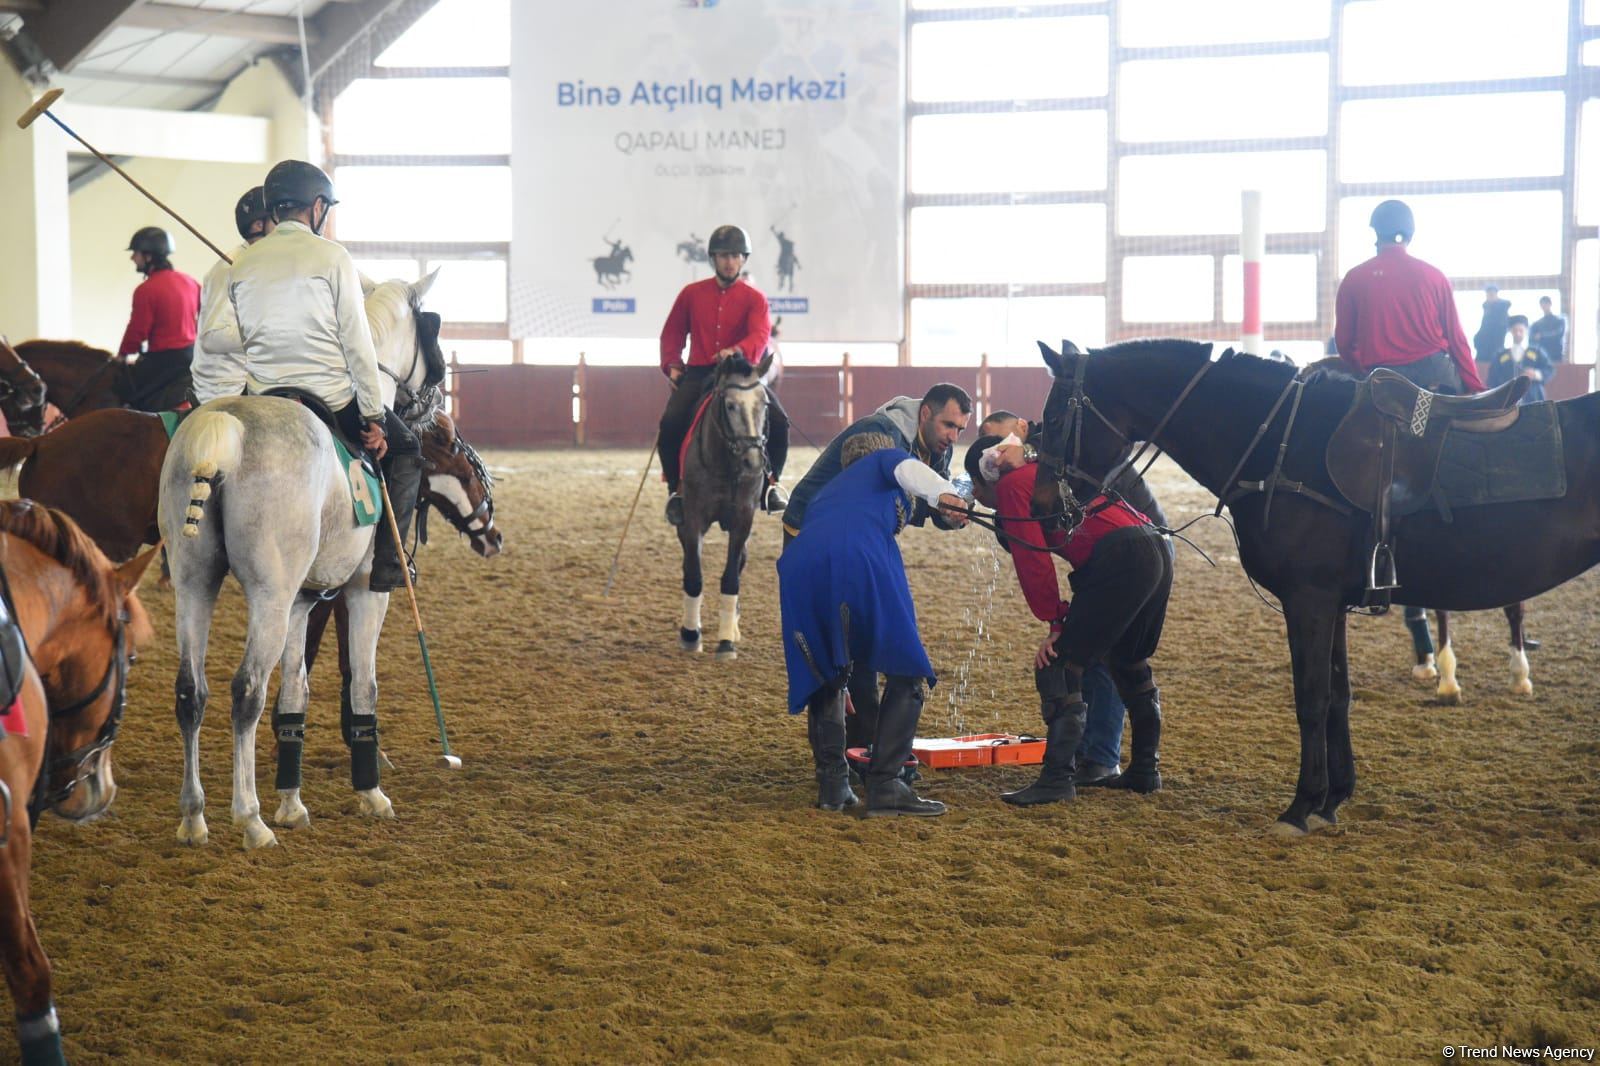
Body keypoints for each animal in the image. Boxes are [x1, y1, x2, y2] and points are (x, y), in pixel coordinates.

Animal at [159, 272, 441, 845]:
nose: (433, 402)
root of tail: (225, 432)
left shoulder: (301, 602)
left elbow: (295, 691)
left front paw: (292, 801)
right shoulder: (363, 593)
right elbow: (363, 684)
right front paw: (370, 793)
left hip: (195, 583)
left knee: (191, 691)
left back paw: (194, 817)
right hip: (268, 594)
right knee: (246, 689)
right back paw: (249, 818)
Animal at [675, 352, 774, 659]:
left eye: (764, 404)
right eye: (730, 405)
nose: (753, 461)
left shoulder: (743, 518)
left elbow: (732, 576)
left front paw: (726, 641)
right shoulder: (693, 518)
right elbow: (694, 574)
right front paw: (691, 634)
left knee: (740, 562)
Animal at [1024, 336, 1600, 832]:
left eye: (1053, 419)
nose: (1042, 507)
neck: (1283, 442)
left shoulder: (1309, 599)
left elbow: (1312, 698)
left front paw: (1301, 806)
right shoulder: (1334, 603)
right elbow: (1339, 696)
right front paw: (1332, 799)